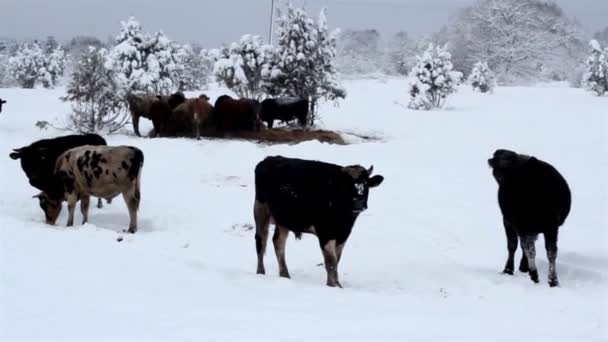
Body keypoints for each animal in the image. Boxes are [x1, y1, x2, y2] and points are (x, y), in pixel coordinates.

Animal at [253, 156, 384, 288]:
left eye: (366, 184)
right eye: (347, 185)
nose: (359, 203)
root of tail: (269, 159)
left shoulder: (343, 235)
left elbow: (337, 260)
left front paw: (336, 284)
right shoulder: (325, 233)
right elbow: (331, 261)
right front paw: (332, 285)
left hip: (283, 220)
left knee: (278, 242)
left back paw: (285, 275)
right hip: (261, 210)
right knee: (261, 241)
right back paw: (260, 272)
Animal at [486, 149, 572, 286]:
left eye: (498, 159)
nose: (490, 160)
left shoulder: (510, 222)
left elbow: (514, 246)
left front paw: (509, 269)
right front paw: (523, 267)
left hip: (526, 224)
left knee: (530, 249)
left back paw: (534, 275)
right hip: (550, 227)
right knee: (551, 251)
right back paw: (552, 280)